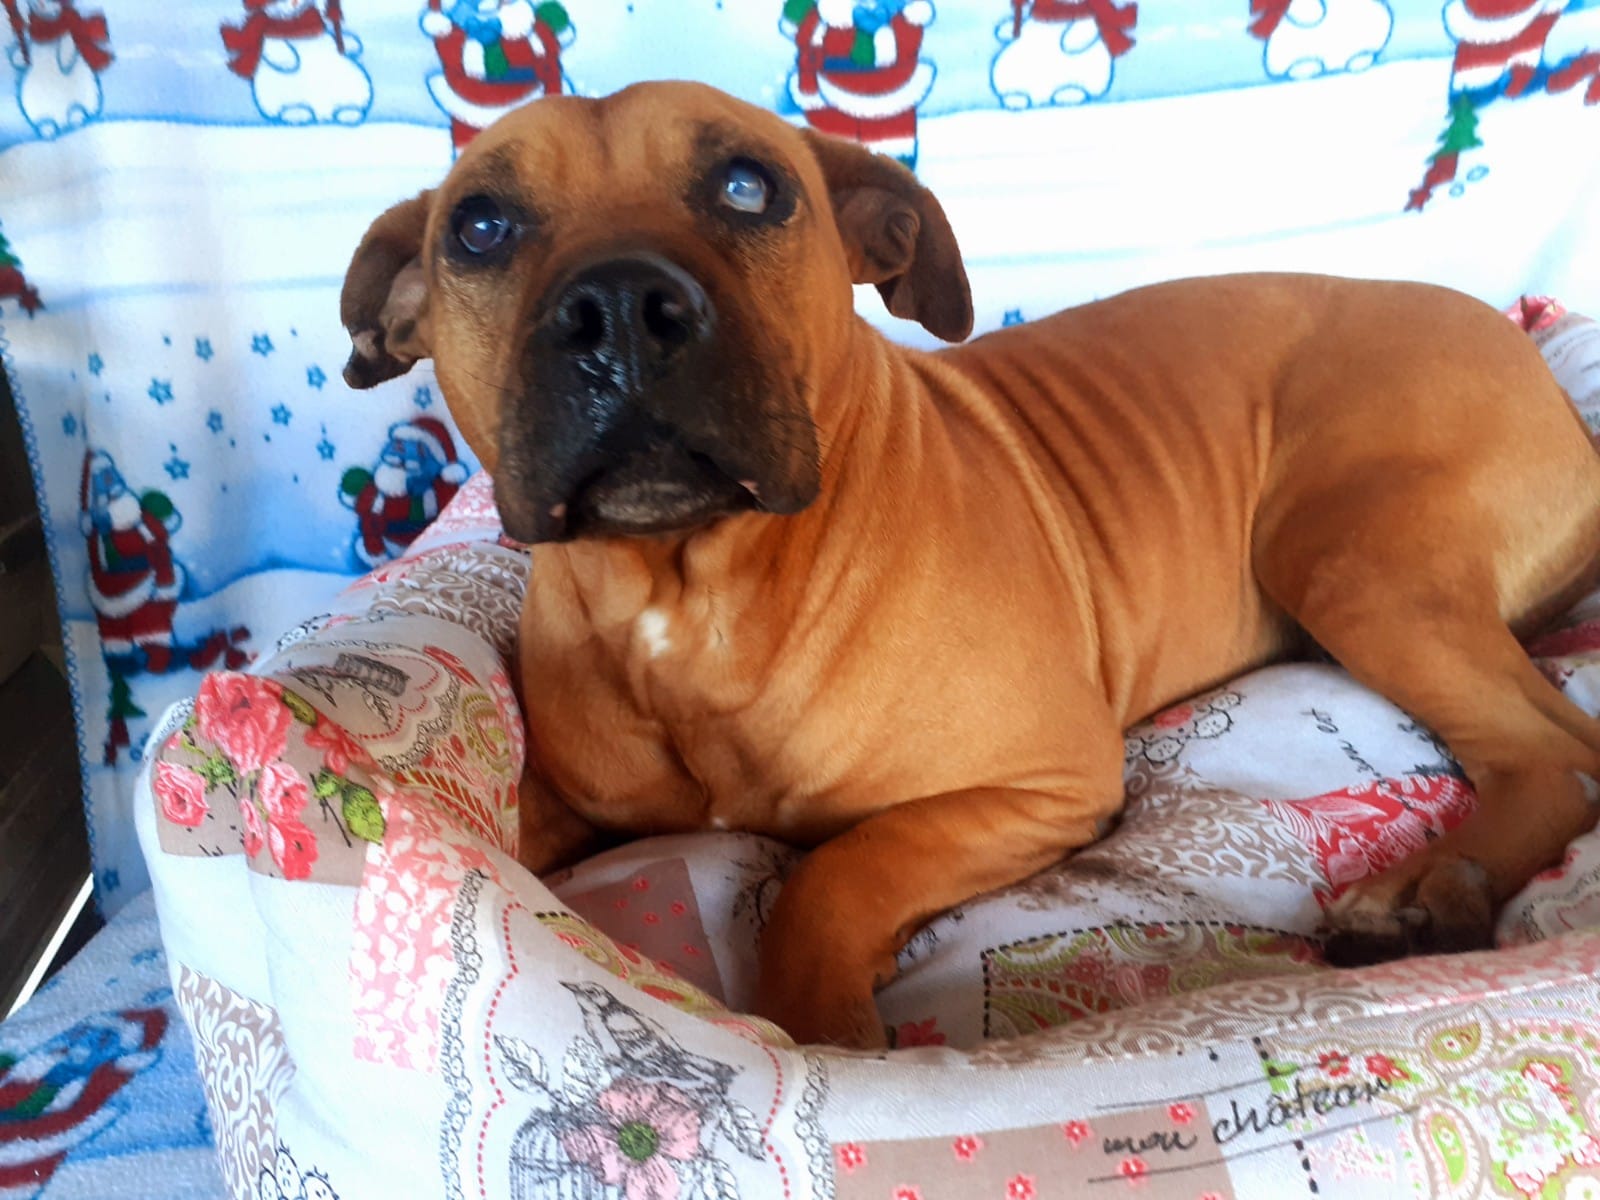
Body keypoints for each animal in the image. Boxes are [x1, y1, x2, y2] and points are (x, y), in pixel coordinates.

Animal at [340, 80, 1600, 1050]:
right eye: (479, 229)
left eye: (750, 187)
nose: (615, 303)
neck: (690, 593)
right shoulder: (567, 803)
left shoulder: (1041, 782)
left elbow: (837, 870)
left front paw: (827, 1028)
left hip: (1345, 559)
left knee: (1555, 752)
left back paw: (1431, 891)